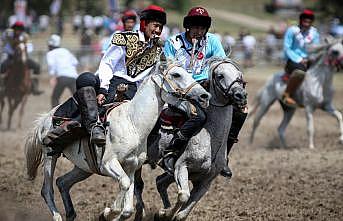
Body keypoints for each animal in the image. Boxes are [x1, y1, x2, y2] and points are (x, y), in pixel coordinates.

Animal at [24, 61, 211, 221]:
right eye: (176, 74)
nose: (204, 95)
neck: (132, 122)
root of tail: (46, 118)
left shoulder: (131, 166)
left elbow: (128, 205)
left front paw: (110, 214)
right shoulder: (108, 163)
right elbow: (125, 184)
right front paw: (108, 212)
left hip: (84, 167)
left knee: (62, 182)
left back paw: (71, 213)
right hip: (51, 156)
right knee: (47, 190)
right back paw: (58, 216)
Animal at [133, 57, 249, 221]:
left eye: (239, 75)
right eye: (220, 76)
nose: (240, 95)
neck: (211, 141)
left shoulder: (205, 182)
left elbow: (183, 212)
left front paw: (165, 213)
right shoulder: (181, 166)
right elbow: (183, 196)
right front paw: (164, 213)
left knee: (159, 182)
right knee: (138, 185)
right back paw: (140, 211)